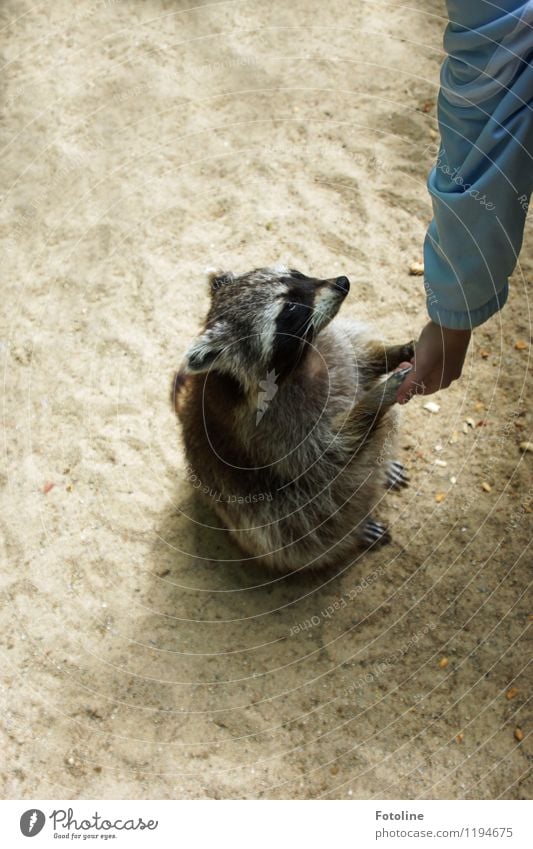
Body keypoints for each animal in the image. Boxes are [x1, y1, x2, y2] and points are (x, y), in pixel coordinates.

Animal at [172, 264, 414, 572]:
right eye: (290, 307)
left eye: (296, 272)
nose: (342, 282)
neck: (301, 359)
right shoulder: (269, 430)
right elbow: (327, 455)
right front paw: (378, 397)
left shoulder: (333, 345)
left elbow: (363, 361)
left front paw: (394, 351)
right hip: (258, 513)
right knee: (296, 529)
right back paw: (353, 532)